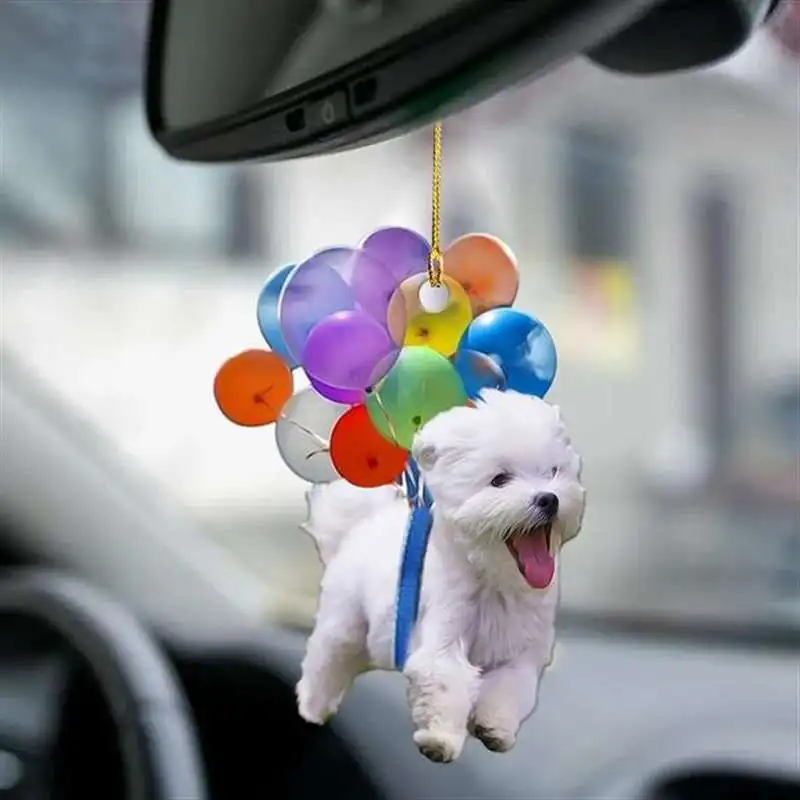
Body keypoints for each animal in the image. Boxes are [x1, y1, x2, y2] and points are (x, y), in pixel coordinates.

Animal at [296, 390, 584, 764]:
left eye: (553, 472)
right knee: (327, 657)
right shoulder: (443, 634)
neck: (494, 580)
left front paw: (495, 729)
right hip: (345, 620)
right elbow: (446, 680)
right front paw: (440, 739)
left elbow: (508, 689)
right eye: (500, 479)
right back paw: (314, 704)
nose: (549, 499)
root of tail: (366, 522)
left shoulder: (520, 653)